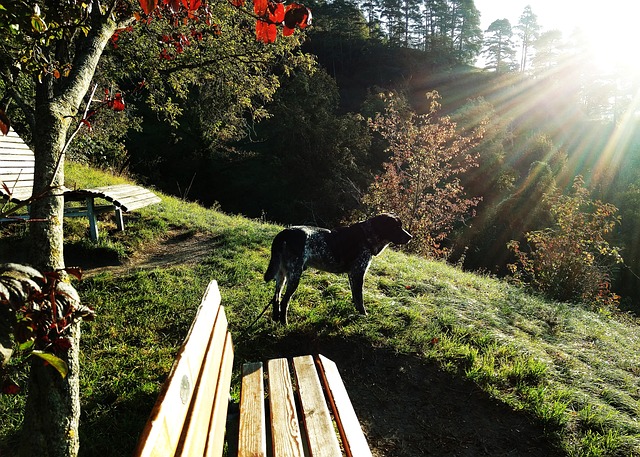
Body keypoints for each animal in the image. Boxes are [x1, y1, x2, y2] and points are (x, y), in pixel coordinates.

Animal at [264, 215, 410, 324]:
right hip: (294, 275)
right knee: (285, 301)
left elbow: (355, 297)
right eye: (396, 227)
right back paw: (284, 323)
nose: (410, 237)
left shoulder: (352, 275)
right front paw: (363, 315)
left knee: (276, 298)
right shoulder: (358, 273)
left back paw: (276, 319)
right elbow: (360, 298)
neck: (367, 235)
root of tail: (284, 233)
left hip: (282, 275)